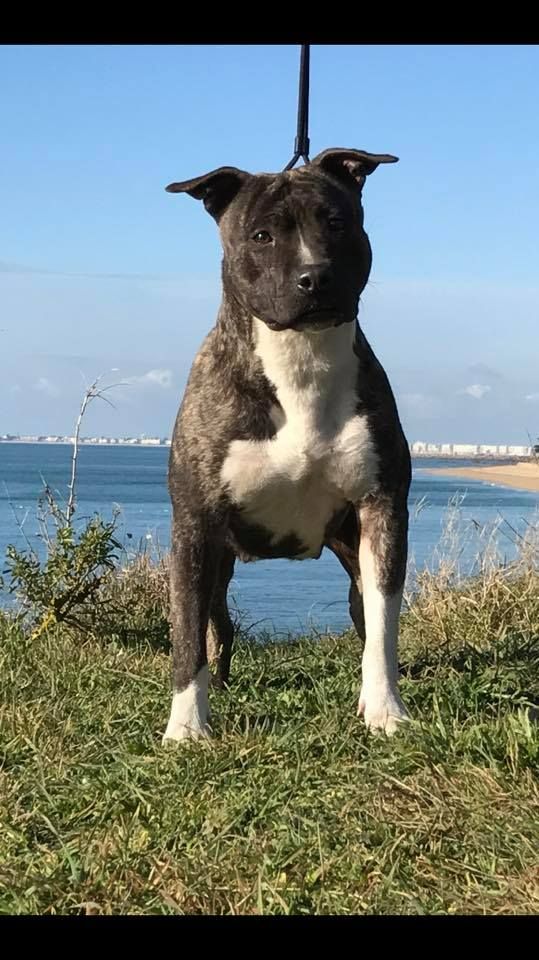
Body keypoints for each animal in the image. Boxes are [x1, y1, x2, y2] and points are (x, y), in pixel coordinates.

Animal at [162, 148, 411, 742]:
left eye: (338, 223)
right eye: (261, 235)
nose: (315, 276)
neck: (300, 359)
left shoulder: (383, 510)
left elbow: (383, 627)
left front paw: (385, 709)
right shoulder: (193, 526)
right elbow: (186, 637)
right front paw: (185, 728)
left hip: (351, 557)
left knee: (364, 618)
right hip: (218, 564)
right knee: (216, 627)